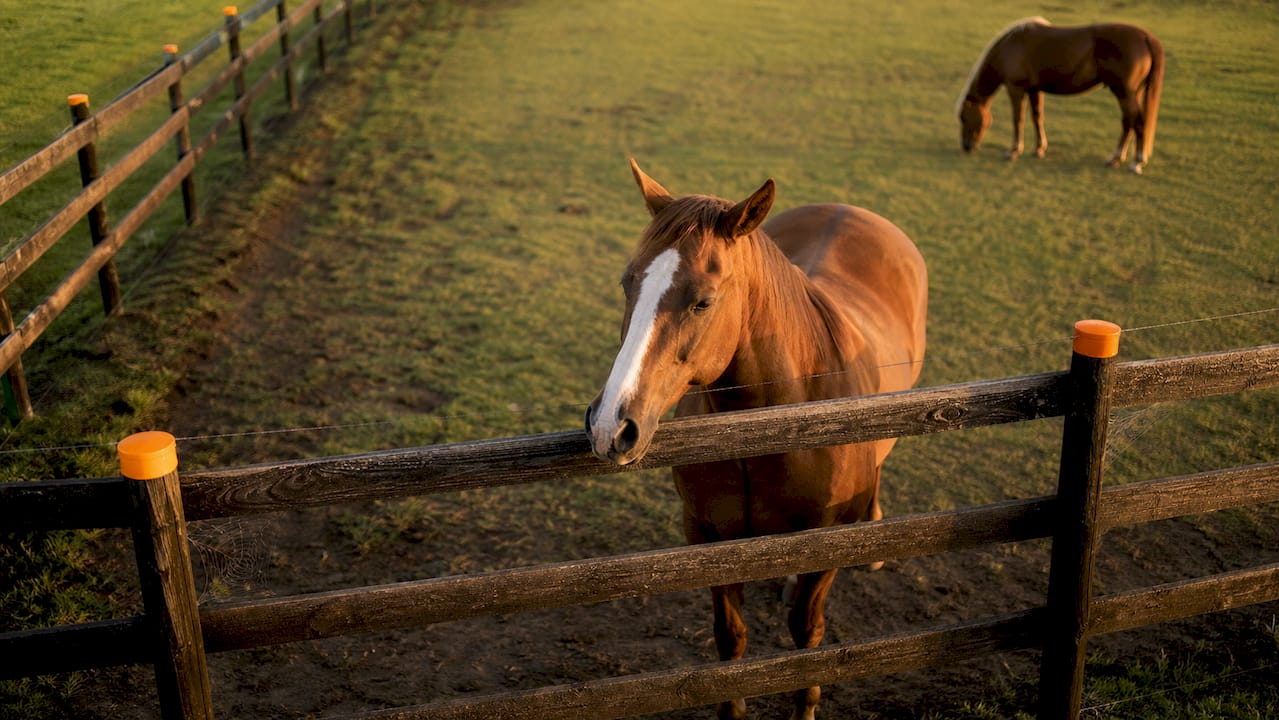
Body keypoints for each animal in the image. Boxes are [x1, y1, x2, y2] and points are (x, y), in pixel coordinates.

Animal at [585, 159, 928, 720]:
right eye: (627, 282)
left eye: (703, 302)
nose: (610, 425)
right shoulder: (708, 536)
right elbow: (731, 639)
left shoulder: (827, 543)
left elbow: (806, 634)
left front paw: (806, 704)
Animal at [956, 17, 1164, 174]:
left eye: (965, 118)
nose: (966, 147)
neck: (1011, 46)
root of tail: (1146, 37)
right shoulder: (1034, 90)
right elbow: (1037, 117)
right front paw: (1039, 149)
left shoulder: (1016, 90)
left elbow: (1018, 120)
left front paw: (1013, 151)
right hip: (1129, 94)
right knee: (1128, 123)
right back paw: (1116, 158)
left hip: (1125, 93)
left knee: (1137, 123)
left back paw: (1136, 162)